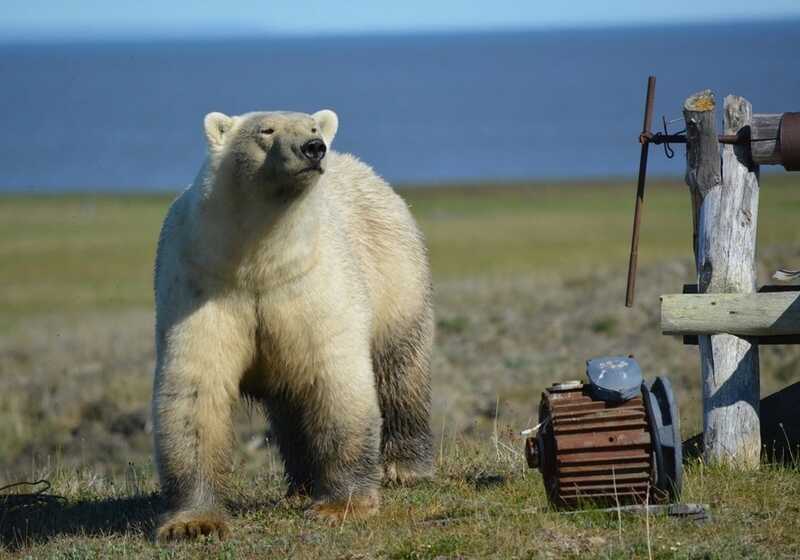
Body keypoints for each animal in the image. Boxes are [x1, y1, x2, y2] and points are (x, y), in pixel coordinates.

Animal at [153, 107, 434, 540]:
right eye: (266, 130)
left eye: (313, 127)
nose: (314, 148)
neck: (257, 260)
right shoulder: (200, 280)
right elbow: (195, 389)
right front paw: (192, 523)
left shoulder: (313, 284)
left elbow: (334, 379)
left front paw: (341, 506)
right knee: (291, 405)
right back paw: (301, 484)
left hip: (397, 278)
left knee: (399, 371)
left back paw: (403, 467)